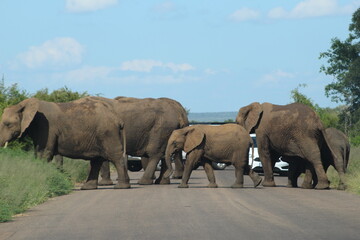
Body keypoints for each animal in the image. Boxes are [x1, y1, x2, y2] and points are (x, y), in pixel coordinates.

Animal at [0, 96, 129, 190]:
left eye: (8, 124)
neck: (23, 105)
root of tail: (118, 119)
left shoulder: (46, 127)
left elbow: (44, 153)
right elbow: (38, 153)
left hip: (107, 133)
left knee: (115, 156)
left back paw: (121, 187)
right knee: (96, 160)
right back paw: (87, 188)